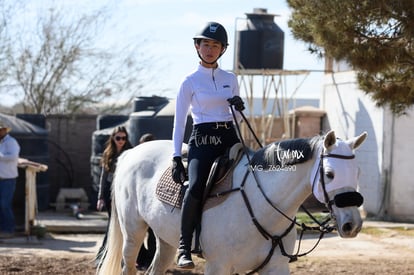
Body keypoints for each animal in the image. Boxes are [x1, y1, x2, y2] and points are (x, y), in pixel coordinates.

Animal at [98, 130, 368, 274]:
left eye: (357, 172)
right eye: (330, 174)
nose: (352, 224)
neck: (260, 205)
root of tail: (131, 152)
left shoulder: (276, 267)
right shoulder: (218, 266)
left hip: (165, 239)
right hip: (133, 233)